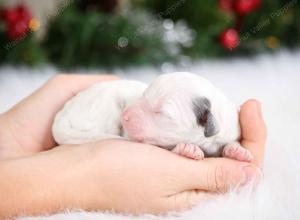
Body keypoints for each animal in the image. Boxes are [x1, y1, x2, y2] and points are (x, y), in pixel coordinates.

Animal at [52, 72, 253, 162]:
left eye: (160, 112)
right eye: (144, 94)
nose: (124, 116)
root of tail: (60, 118)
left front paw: (238, 151)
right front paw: (187, 149)